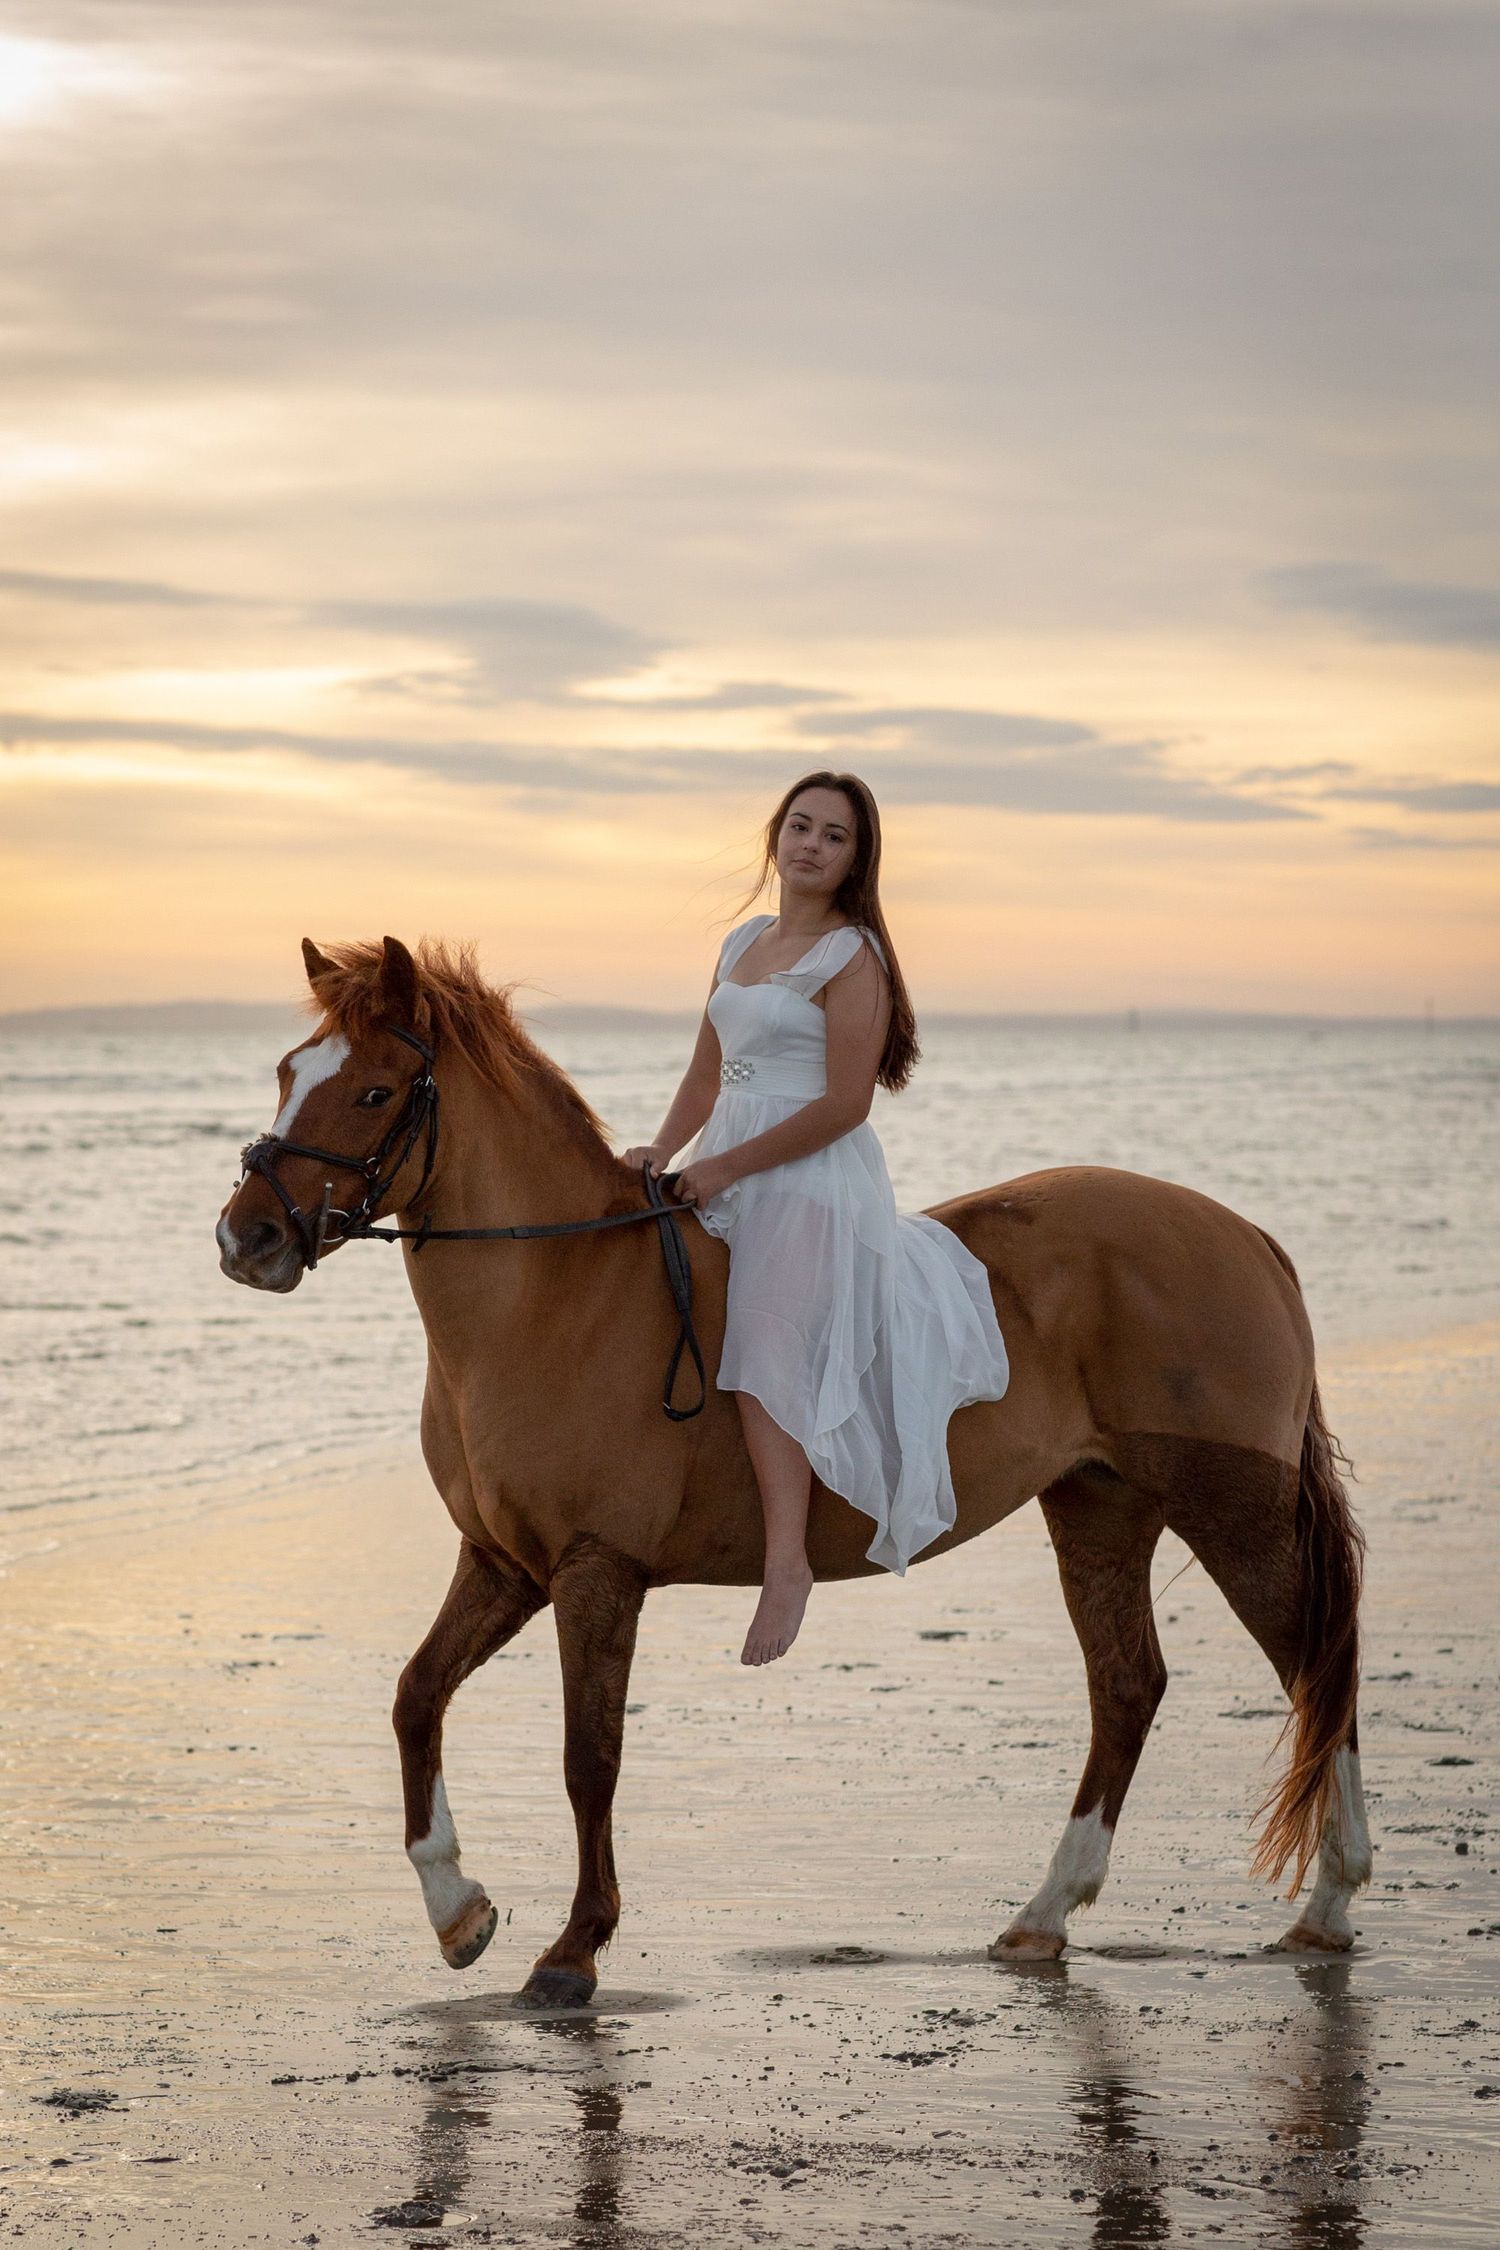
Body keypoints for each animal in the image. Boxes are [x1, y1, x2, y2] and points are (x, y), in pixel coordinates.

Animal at [216, 934, 1371, 2007]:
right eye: (288, 1071)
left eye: (372, 1090)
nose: (246, 1237)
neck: (557, 1287)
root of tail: (1242, 1233)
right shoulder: (502, 1564)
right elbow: (416, 1698)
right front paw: (459, 1912)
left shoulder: (595, 1571)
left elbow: (590, 1760)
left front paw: (572, 1951)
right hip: (1099, 1506)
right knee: (1128, 1685)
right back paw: (1046, 1916)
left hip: (1232, 1511)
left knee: (1317, 1669)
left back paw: (1329, 1905)